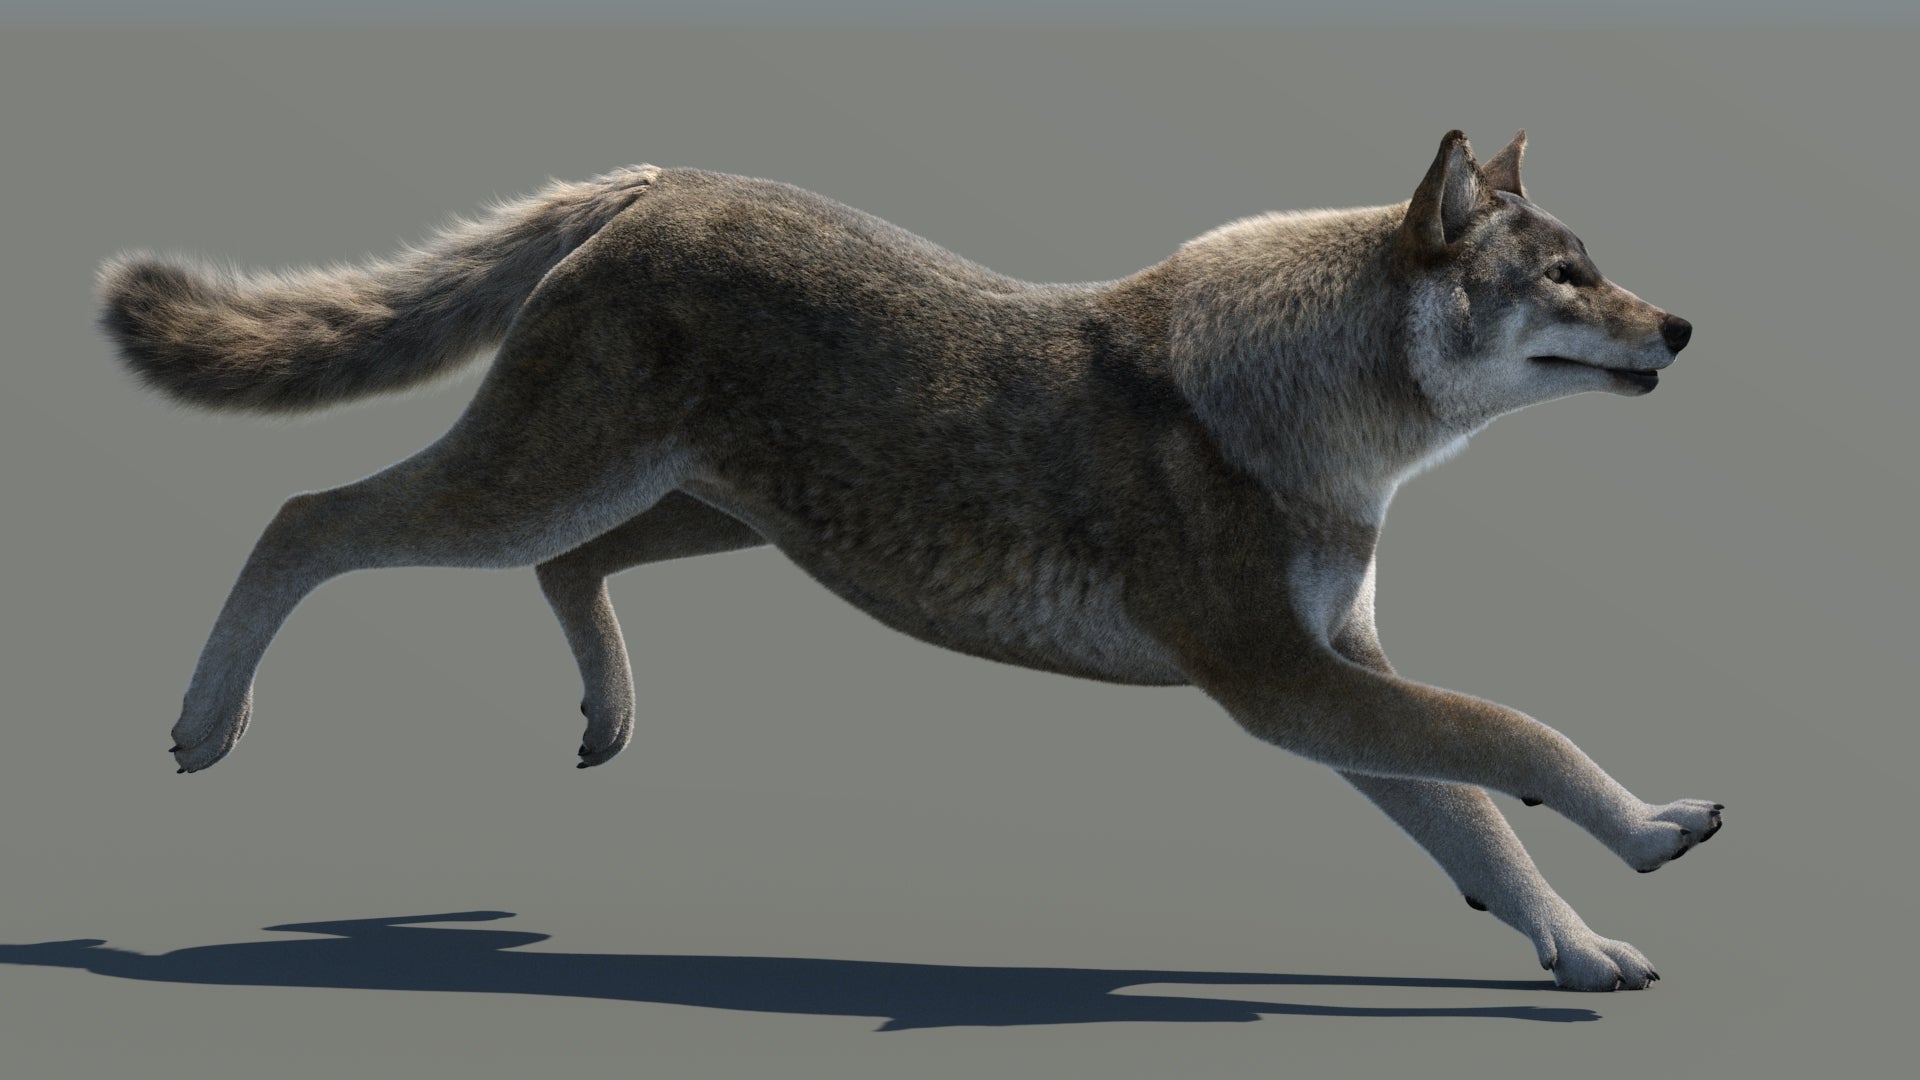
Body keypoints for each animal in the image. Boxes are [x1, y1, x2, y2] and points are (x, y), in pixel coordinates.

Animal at [100, 130, 1715, 990]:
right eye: (1566, 278)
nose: (1686, 326)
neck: (1312, 419)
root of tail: (661, 178)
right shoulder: (1278, 686)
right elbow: (1518, 740)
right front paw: (1647, 840)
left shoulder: (1334, 676)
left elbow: (1477, 820)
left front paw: (1577, 947)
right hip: (539, 491)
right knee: (304, 516)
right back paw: (203, 726)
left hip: (696, 512)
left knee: (562, 573)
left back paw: (609, 715)